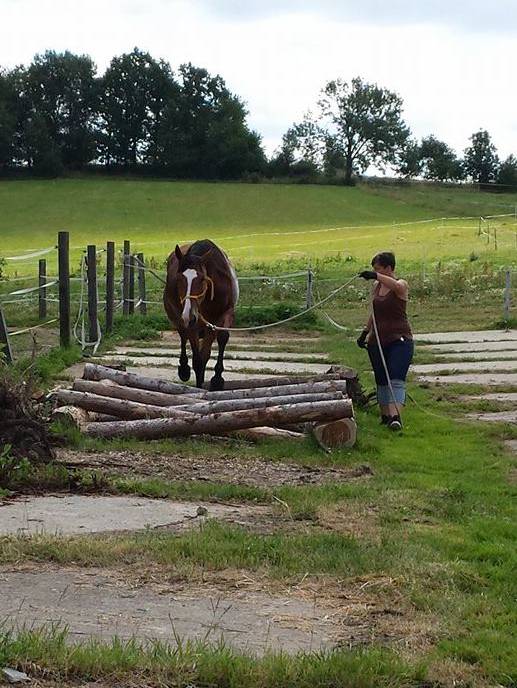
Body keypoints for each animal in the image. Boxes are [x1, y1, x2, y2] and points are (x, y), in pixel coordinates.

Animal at [162, 239, 239, 390]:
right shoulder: (193, 323)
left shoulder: (224, 315)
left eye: (203, 279)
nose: (188, 315)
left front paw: (217, 379)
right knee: (183, 336)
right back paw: (184, 369)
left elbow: (221, 338)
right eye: (178, 278)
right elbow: (198, 360)